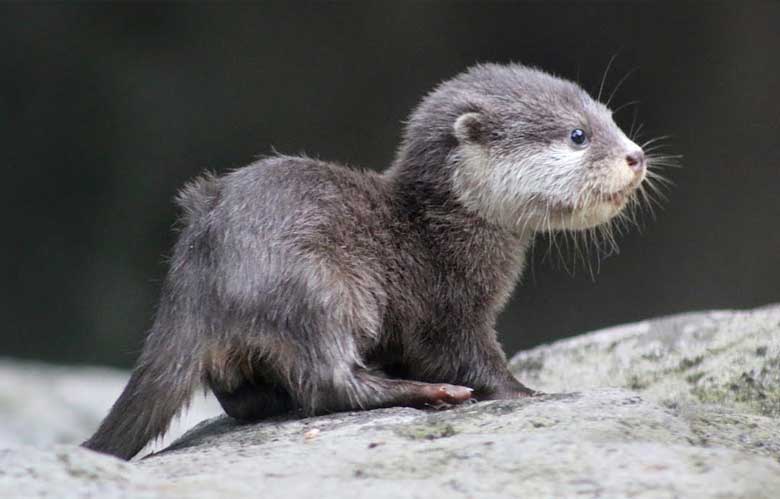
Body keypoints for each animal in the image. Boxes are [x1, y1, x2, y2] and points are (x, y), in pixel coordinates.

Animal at [82, 62, 648, 460]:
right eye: (577, 135)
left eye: (611, 118)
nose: (636, 155)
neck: (440, 229)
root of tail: (196, 277)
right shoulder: (446, 307)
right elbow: (473, 360)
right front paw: (528, 392)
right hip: (319, 290)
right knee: (329, 382)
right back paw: (430, 393)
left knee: (245, 398)